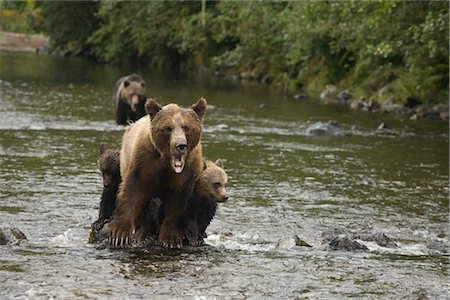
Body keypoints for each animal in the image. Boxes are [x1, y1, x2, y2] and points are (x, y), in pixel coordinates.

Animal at [105, 97, 206, 247]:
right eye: (168, 128)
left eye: (186, 127)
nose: (180, 146)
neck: (166, 161)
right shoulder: (143, 162)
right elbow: (131, 191)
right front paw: (119, 234)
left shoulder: (186, 173)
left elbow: (177, 203)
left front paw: (171, 239)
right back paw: (143, 233)